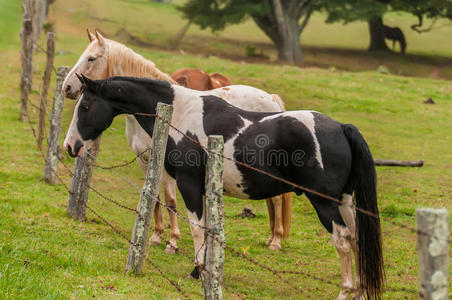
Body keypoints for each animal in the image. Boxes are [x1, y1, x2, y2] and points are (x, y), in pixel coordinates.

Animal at [61, 29, 292, 251]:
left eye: (91, 58)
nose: (67, 87)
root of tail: (271, 99)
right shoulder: (144, 160)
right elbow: (154, 197)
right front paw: (156, 235)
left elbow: (170, 200)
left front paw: (172, 241)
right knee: (272, 199)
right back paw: (270, 237)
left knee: (277, 200)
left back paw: (276, 240)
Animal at [65, 75, 384, 300]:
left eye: (85, 106)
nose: (71, 146)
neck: (180, 113)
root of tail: (341, 127)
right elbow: (208, 229)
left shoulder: (189, 184)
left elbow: (196, 227)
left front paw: (198, 271)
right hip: (345, 201)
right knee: (357, 239)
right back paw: (359, 291)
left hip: (325, 203)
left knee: (343, 240)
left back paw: (345, 291)